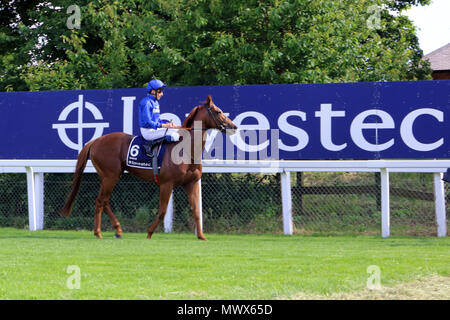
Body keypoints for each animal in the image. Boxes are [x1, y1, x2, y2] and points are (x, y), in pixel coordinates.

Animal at [59, 95, 239, 240]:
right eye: (218, 111)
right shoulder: (166, 184)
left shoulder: (191, 183)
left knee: (104, 201)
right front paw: (149, 233)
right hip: (110, 176)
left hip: (110, 176)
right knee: (100, 201)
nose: (234, 126)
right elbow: (163, 210)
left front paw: (201, 236)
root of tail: (95, 141)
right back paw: (99, 232)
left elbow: (196, 211)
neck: (185, 150)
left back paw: (117, 230)